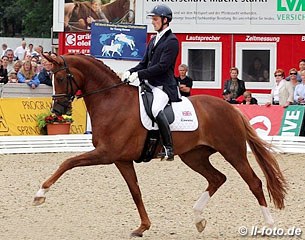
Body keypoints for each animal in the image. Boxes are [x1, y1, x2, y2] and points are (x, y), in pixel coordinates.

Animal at [33, 54, 284, 238]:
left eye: (61, 78)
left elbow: (68, 162)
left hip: (233, 152)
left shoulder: (106, 154)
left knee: (254, 182)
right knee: (217, 178)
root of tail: (231, 108)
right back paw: (198, 219)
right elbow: (135, 192)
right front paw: (143, 227)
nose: (57, 111)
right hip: (194, 156)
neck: (111, 101)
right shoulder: (121, 159)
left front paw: (40, 194)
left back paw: (270, 225)